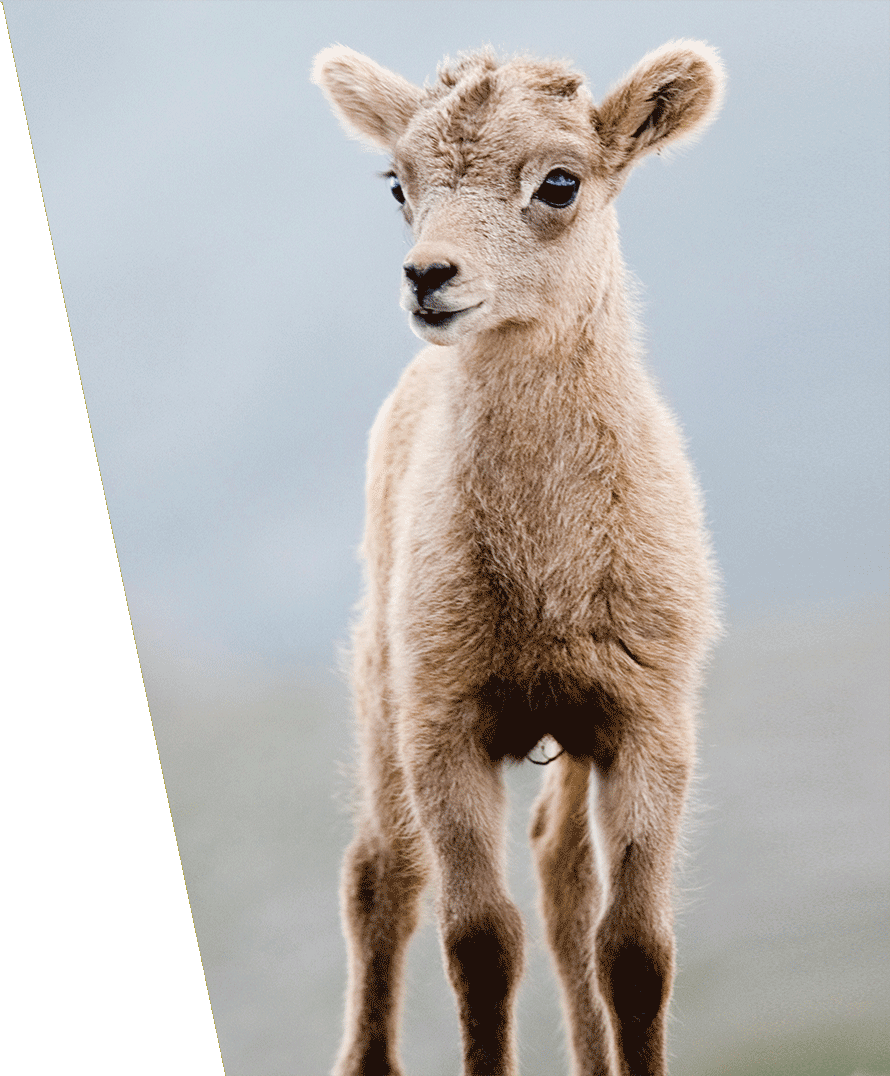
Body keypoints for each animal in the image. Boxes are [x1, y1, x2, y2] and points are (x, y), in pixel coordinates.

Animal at [312, 39, 724, 1076]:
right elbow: (480, 943)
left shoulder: (647, 719)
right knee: (381, 878)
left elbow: (637, 948)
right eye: (398, 183)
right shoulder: (445, 721)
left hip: (572, 732)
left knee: (560, 871)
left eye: (561, 183)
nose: (428, 276)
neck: (546, 578)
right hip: (382, 688)